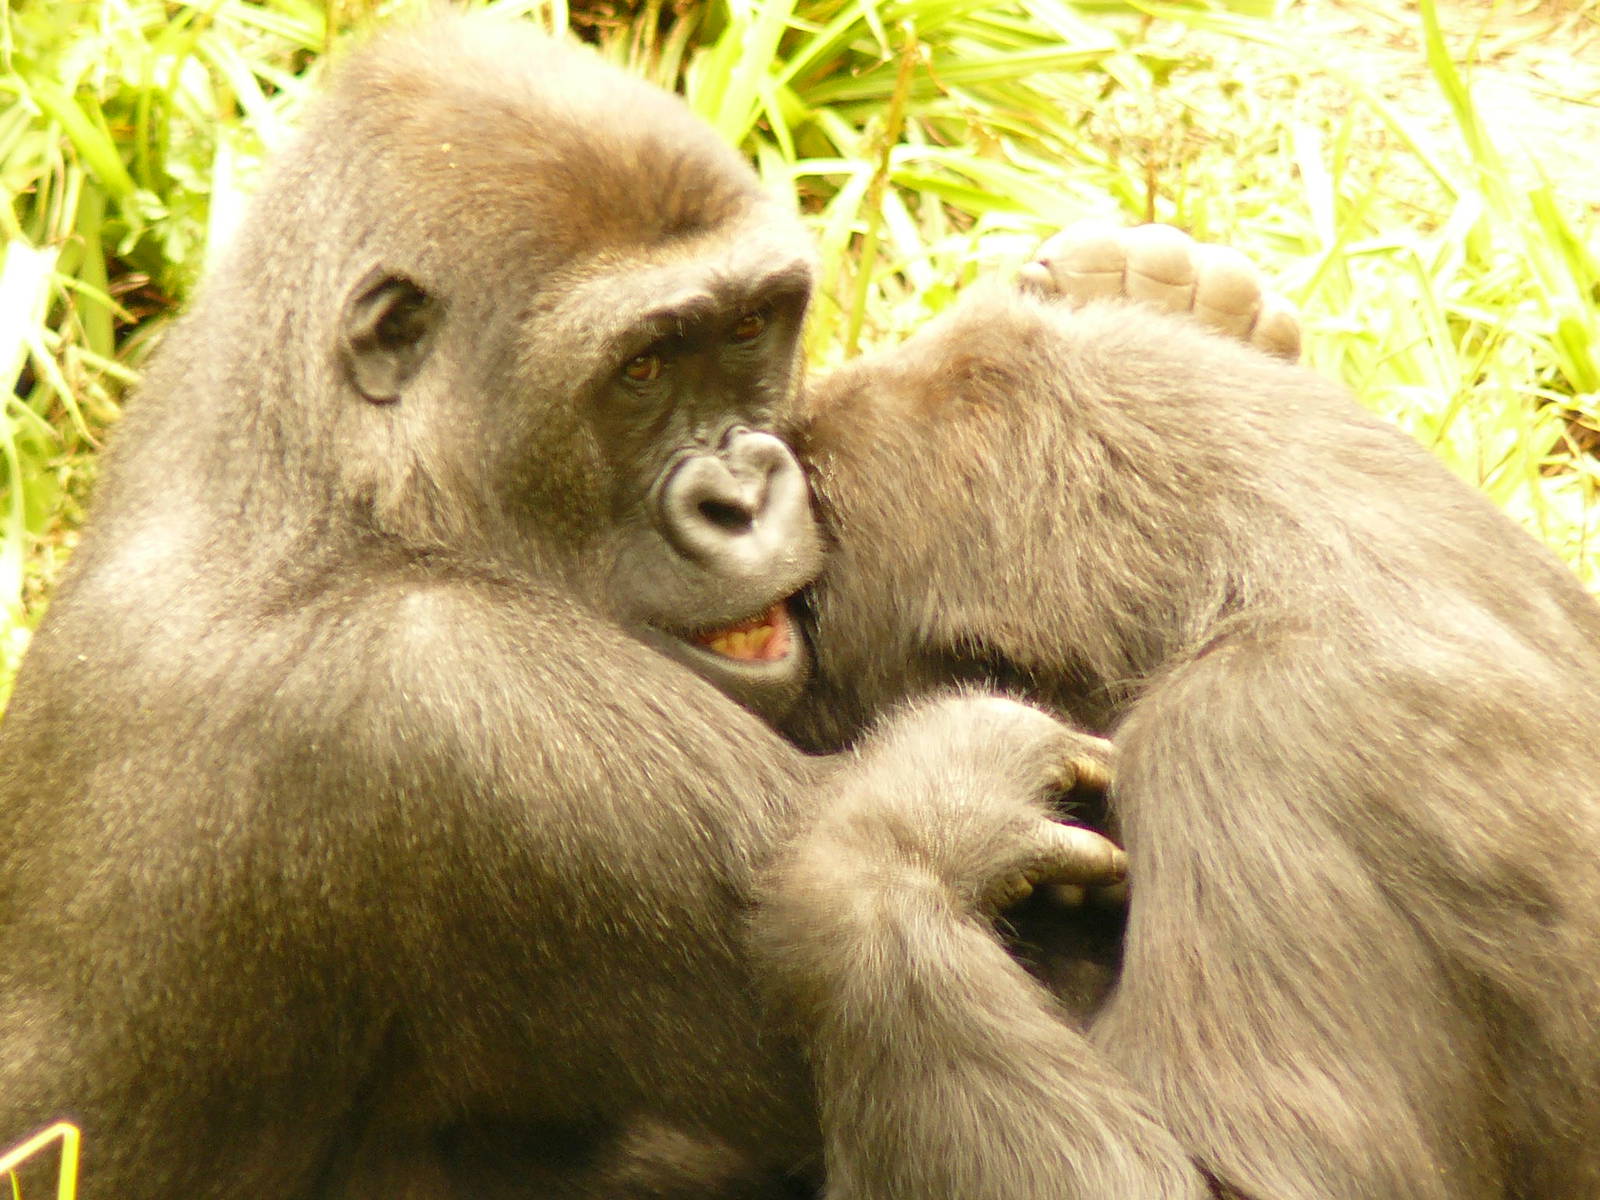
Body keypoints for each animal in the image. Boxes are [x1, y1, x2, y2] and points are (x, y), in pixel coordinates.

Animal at [0, 15, 1137, 1198]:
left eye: (747, 331)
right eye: (641, 369)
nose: (744, 496)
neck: (349, 487)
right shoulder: (471, 717)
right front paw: (926, 823)